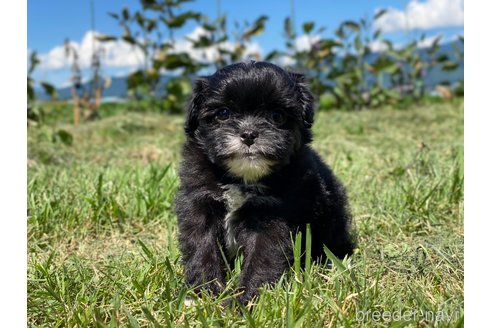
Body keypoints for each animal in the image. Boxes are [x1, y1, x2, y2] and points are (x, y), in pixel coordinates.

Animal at [175, 60, 356, 304]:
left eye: (277, 116)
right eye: (223, 113)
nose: (249, 133)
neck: (243, 178)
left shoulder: (273, 216)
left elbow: (262, 258)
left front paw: (245, 301)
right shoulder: (199, 201)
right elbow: (202, 245)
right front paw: (203, 291)